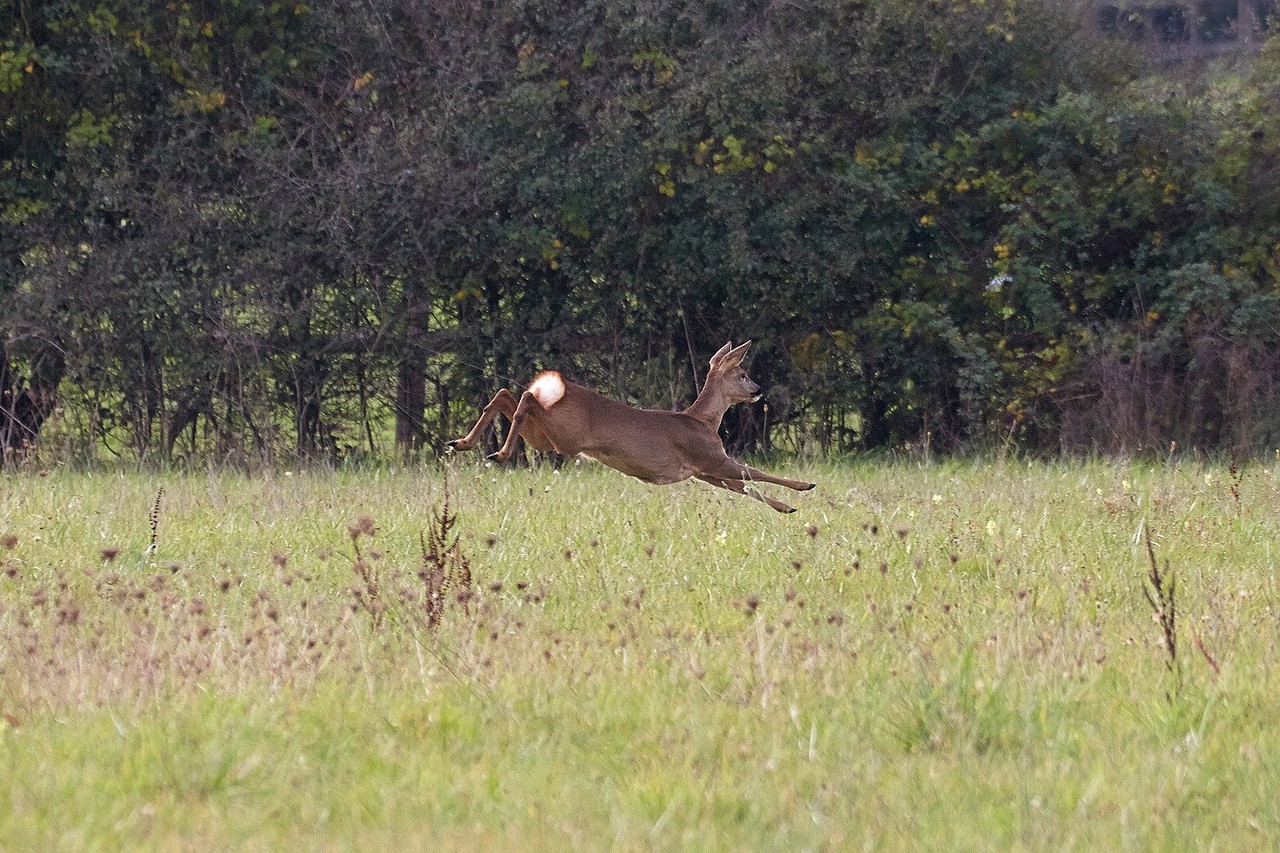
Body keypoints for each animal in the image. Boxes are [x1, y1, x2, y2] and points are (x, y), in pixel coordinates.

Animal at [445, 338, 814, 512]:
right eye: (742, 373)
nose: (759, 390)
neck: (703, 421)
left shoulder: (704, 471)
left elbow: (747, 486)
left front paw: (785, 507)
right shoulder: (710, 457)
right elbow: (755, 473)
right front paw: (804, 487)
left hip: (545, 437)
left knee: (506, 395)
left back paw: (462, 443)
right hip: (564, 435)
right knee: (523, 398)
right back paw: (500, 453)